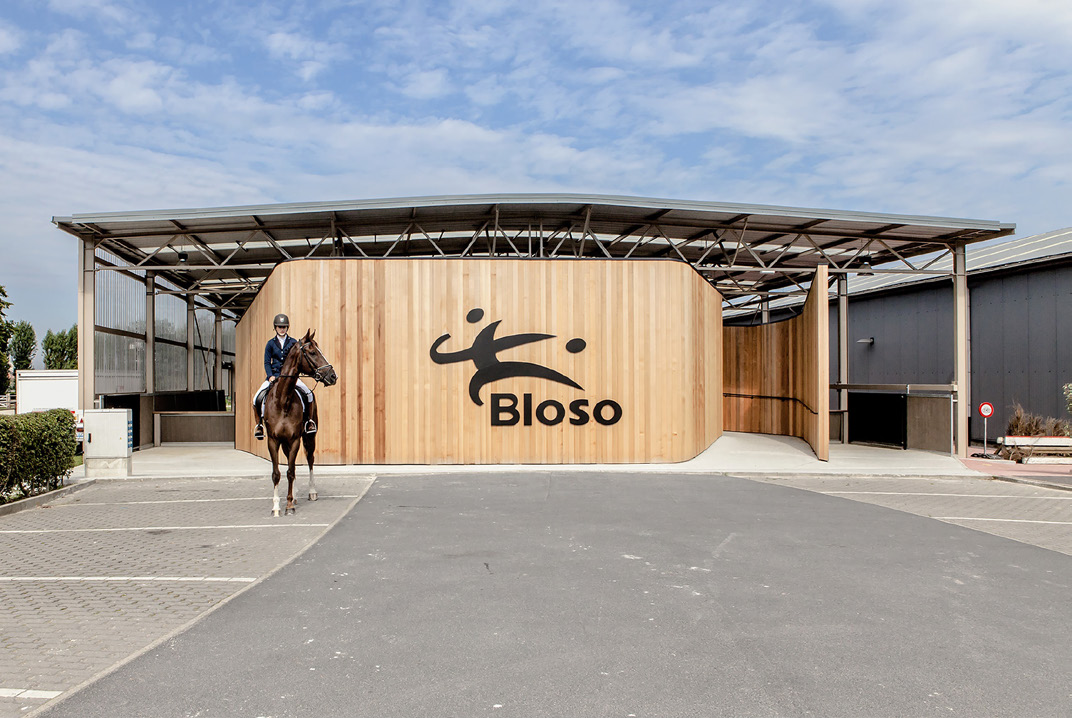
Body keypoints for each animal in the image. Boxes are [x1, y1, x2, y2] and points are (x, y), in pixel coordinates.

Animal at [262, 329, 337, 516]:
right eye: (312, 352)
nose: (333, 376)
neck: (283, 400)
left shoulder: (295, 438)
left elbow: (290, 471)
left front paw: (289, 506)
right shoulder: (273, 440)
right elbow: (277, 473)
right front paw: (276, 507)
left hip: (309, 437)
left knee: (309, 460)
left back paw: (311, 492)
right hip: (284, 443)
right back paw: (295, 495)